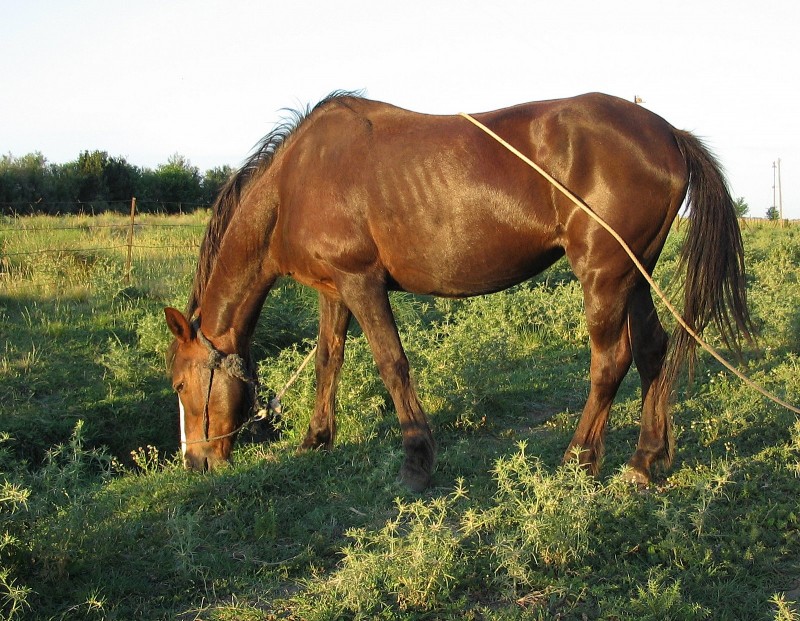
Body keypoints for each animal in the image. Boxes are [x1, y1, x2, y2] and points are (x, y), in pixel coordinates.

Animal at [166, 92, 752, 490]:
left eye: (179, 384)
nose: (195, 462)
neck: (296, 182)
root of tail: (668, 132)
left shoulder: (362, 283)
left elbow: (392, 365)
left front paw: (416, 461)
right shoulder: (334, 290)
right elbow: (328, 360)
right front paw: (316, 440)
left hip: (604, 274)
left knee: (611, 361)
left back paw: (578, 460)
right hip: (635, 272)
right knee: (653, 351)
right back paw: (644, 461)